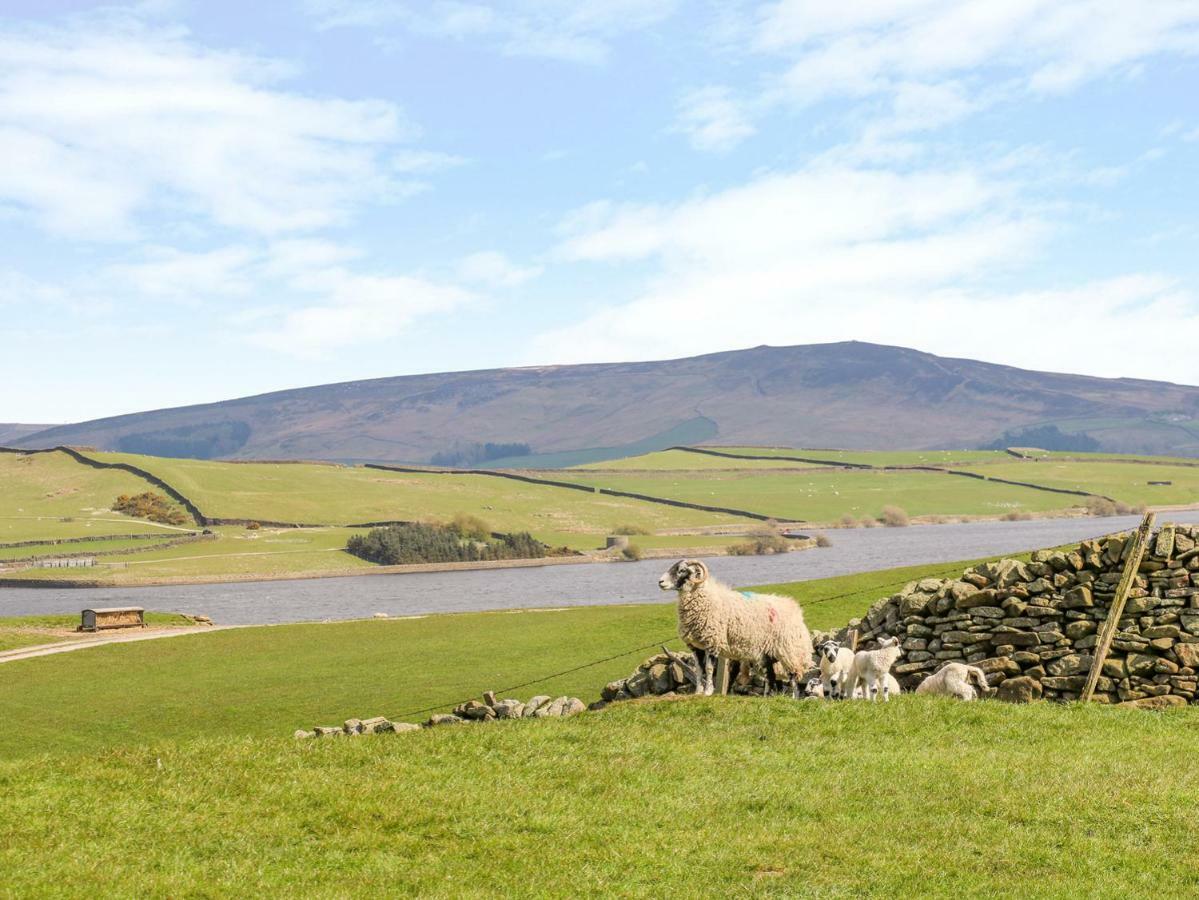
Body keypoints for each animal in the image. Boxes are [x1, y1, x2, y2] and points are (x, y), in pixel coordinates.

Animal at [657, 560, 815, 699]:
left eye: (682, 570)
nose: (660, 582)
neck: (706, 598)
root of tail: (794, 608)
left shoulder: (712, 642)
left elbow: (708, 669)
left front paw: (708, 692)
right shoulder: (696, 646)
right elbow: (699, 670)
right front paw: (698, 692)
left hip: (790, 650)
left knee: (793, 676)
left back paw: (794, 697)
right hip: (767, 653)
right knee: (770, 676)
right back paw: (767, 697)